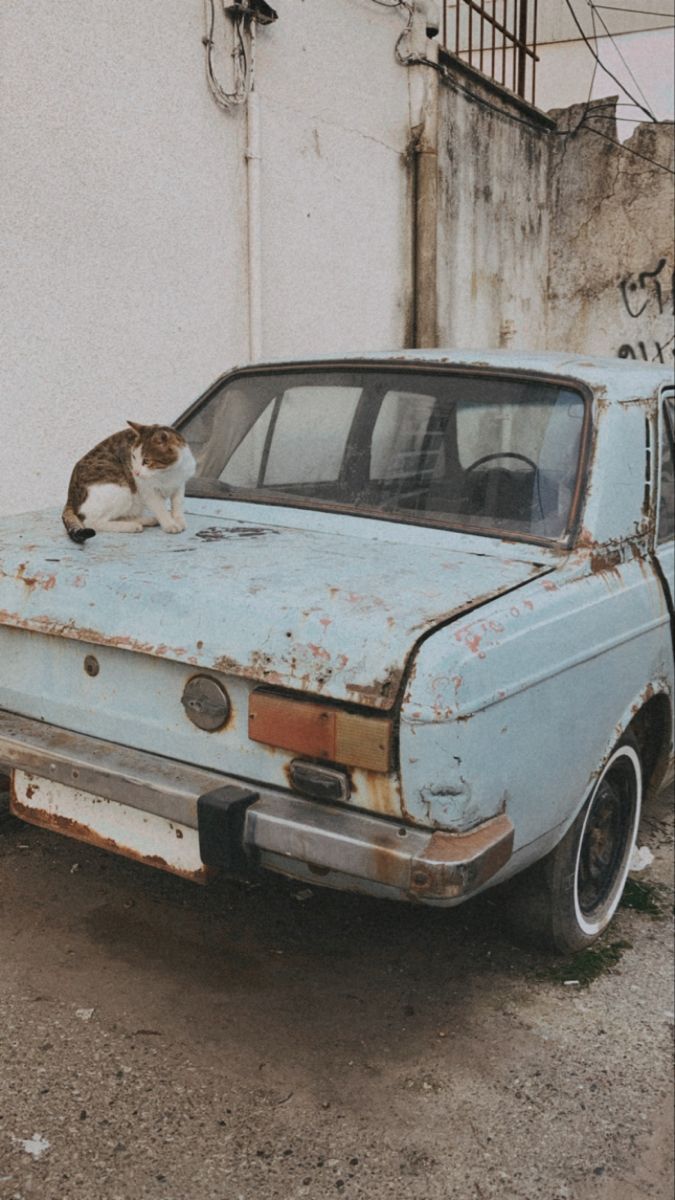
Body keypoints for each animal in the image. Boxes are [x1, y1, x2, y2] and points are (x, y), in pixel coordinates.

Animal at [60, 422, 194, 544]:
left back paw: (145, 520)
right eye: (133, 457)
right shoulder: (147, 490)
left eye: (146, 461)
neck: (167, 472)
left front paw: (179, 520)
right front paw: (170, 524)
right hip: (122, 490)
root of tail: (70, 496)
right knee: (92, 521)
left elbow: (178, 504)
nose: (135, 472)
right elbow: (160, 508)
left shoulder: (180, 483)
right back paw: (131, 526)